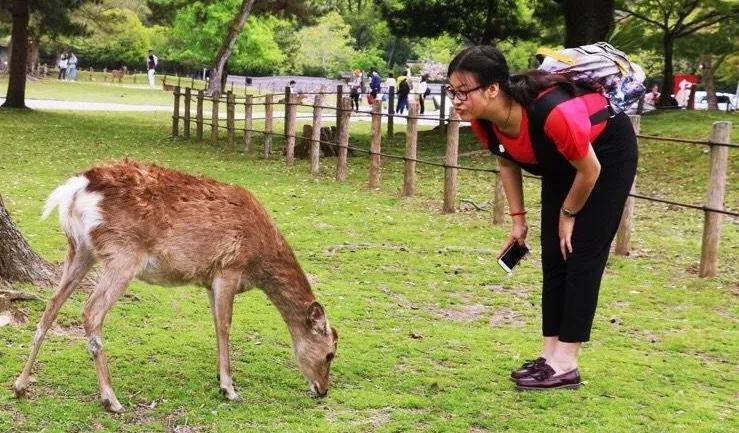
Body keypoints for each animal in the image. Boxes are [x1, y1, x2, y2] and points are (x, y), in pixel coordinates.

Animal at [13, 159, 338, 412]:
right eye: (330, 353)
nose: (323, 390)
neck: (260, 259)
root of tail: (76, 188)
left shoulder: (209, 279)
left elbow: (215, 323)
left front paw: (220, 379)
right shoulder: (229, 267)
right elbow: (225, 325)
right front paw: (229, 389)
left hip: (80, 249)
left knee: (52, 305)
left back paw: (19, 385)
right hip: (122, 255)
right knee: (91, 310)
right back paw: (111, 399)